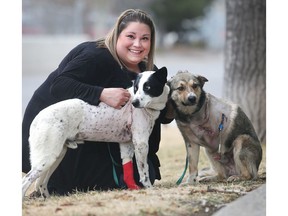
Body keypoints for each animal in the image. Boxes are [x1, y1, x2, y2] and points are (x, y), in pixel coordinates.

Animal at [23, 66, 171, 199]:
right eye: (136, 88)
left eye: (148, 87)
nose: (134, 103)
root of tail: (37, 119)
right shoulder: (141, 143)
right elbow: (144, 171)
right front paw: (149, 189)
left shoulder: (127, 144)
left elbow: (127, 167)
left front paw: (133, 188)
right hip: (47, 158)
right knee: (25, 181)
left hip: (56, 157)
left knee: (41, 183)